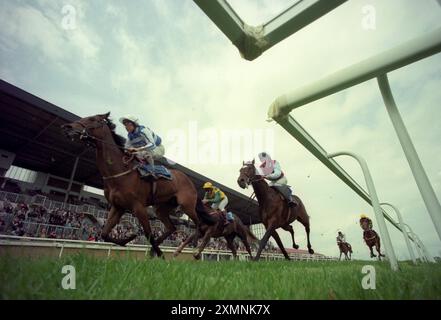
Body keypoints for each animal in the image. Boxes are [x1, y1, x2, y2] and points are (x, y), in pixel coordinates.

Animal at [60, 112, 215, 258]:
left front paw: (161, 255)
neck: (119, 172)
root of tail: (190, 182)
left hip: (186, 205)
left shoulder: (138, 207)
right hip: (162, 208)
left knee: (199, 224)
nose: (67, 127)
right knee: (172, 228)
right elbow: (104, 233)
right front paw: (128, 239)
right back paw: (158, 250)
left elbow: (148, 234)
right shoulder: (118, 206)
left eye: (92, 119)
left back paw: (193, 247)